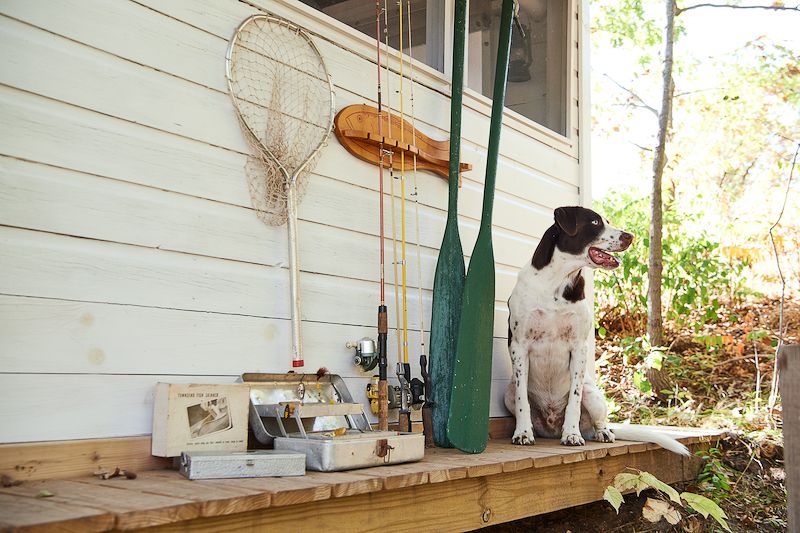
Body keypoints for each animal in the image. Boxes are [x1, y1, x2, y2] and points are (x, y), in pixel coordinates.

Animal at [506, 206, 688, 456]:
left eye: (607, 221)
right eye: (594, 222)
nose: (630, 236)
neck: (556, 282)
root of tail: (552, 427)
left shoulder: (579, 347)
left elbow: (574, 400)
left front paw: (571, 434)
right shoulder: (519, 345)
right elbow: (522, 399)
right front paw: (523, 433)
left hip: (593, 395)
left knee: (599, 421)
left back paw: (602, 433)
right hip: (507, 394)